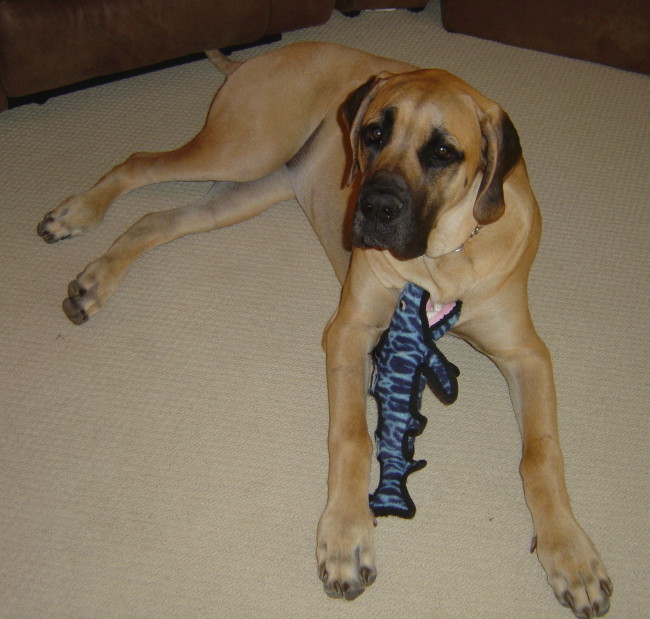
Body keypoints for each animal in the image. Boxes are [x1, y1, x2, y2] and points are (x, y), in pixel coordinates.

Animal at [38, 41, 612, 616]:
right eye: (373, 134)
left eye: (443, 152)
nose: (374, 207)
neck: (443, 258)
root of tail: (268, 53)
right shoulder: (350, 328)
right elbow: (352, 433)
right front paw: (346, 537)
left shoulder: (526, 353)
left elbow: (540, 453)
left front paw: (571, 553)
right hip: (245, 146)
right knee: (139, 163)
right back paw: (76, 213)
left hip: (248, 188)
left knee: (156, 219)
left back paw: (94, 280)